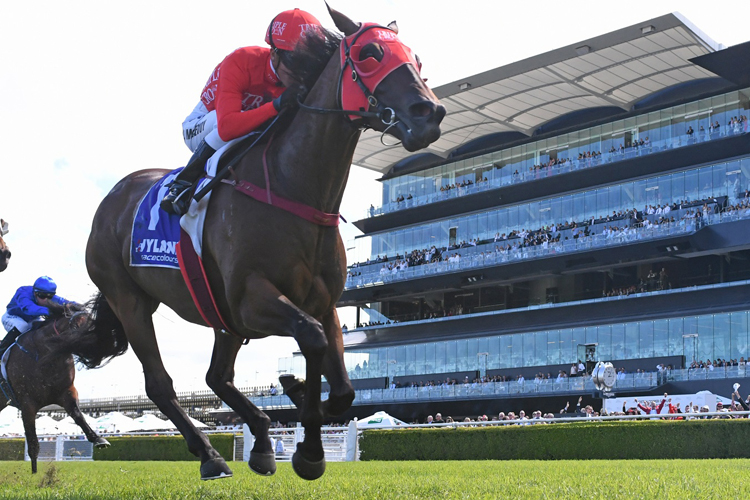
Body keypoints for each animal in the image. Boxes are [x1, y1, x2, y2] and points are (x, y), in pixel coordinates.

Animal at [0, 294, 128, 474]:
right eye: (77, 326)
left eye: (93, 324)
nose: (103, 346)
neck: (45, 356)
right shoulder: (27, 404)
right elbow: (33, 442)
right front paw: (35, 474)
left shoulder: (66, 392)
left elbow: (78, 415)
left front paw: (98, 439)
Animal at [86, 4, 446, 480]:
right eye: (370, 53)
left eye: (416, 59)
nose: (430, 113)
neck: (296, 188)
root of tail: (112, 197)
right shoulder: (250, 298)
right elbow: (312, 340)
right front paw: (308, 448)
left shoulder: (322, 302)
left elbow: (344, 390)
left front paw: (300, 407)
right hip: (130, 300)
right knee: (161, 385)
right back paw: (211, 454)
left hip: (219, 315)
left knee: (216, 377)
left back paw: (258, 440)